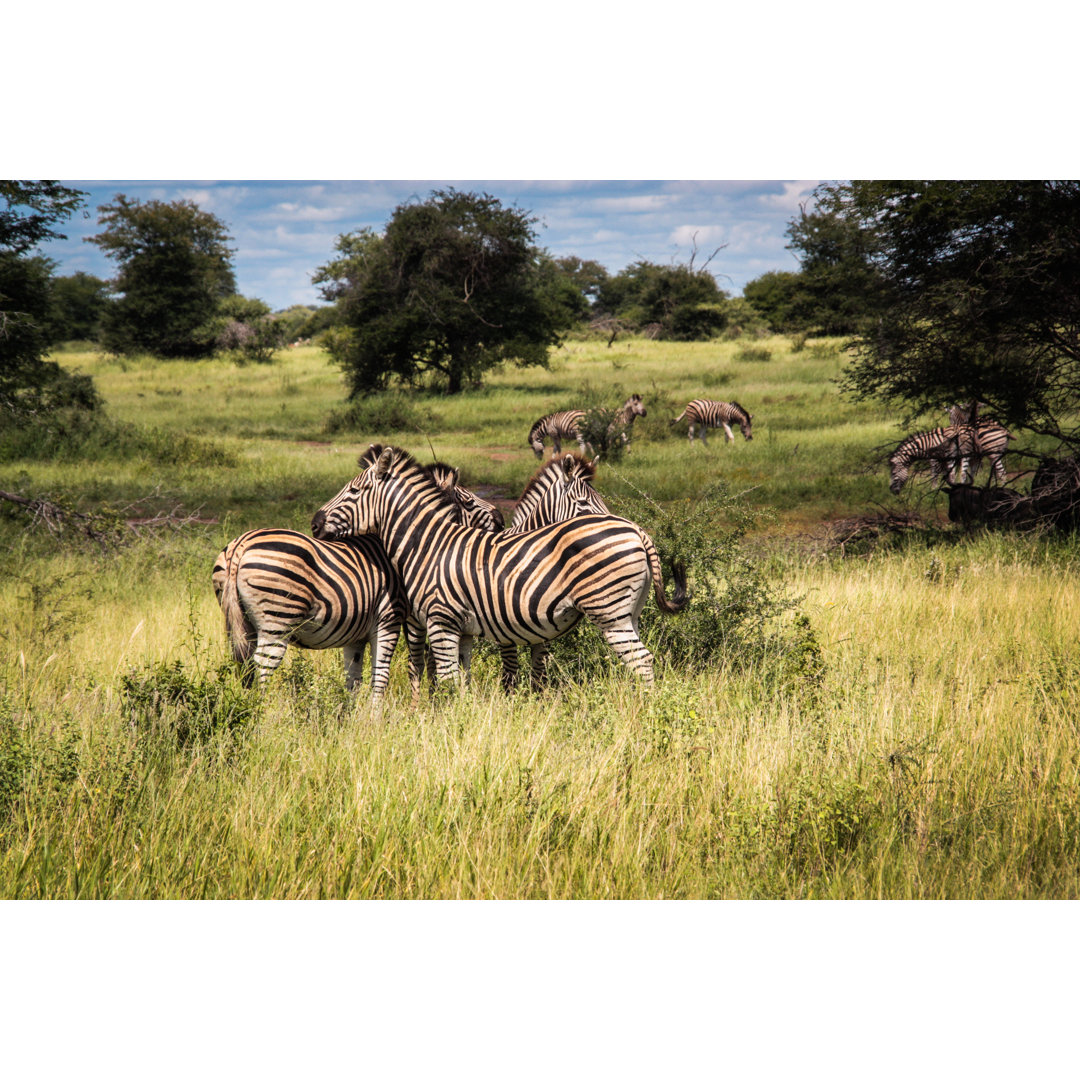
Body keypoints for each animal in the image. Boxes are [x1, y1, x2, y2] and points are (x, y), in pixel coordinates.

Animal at [211, 531, 408, 699]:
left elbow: (353, 679)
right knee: (262, 664)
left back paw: (246, 705)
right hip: (277, 617)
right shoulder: (388, 620)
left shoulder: (356, 635)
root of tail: (240, 547)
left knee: (245, 663)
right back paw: (261, 709)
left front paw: (351, 715)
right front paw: (374, 717)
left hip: (242, 622)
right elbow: (380, 676)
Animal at [308, 444, 686, 691]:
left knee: (642, 661)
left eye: (354, 490)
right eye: (583, 502)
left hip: (609, 612)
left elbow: (454, 682)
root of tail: (636, 530)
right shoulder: (465, 629)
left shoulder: (444, 622)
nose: (314, 523)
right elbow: (464, 681)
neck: (428, 543)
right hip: (627, 612)